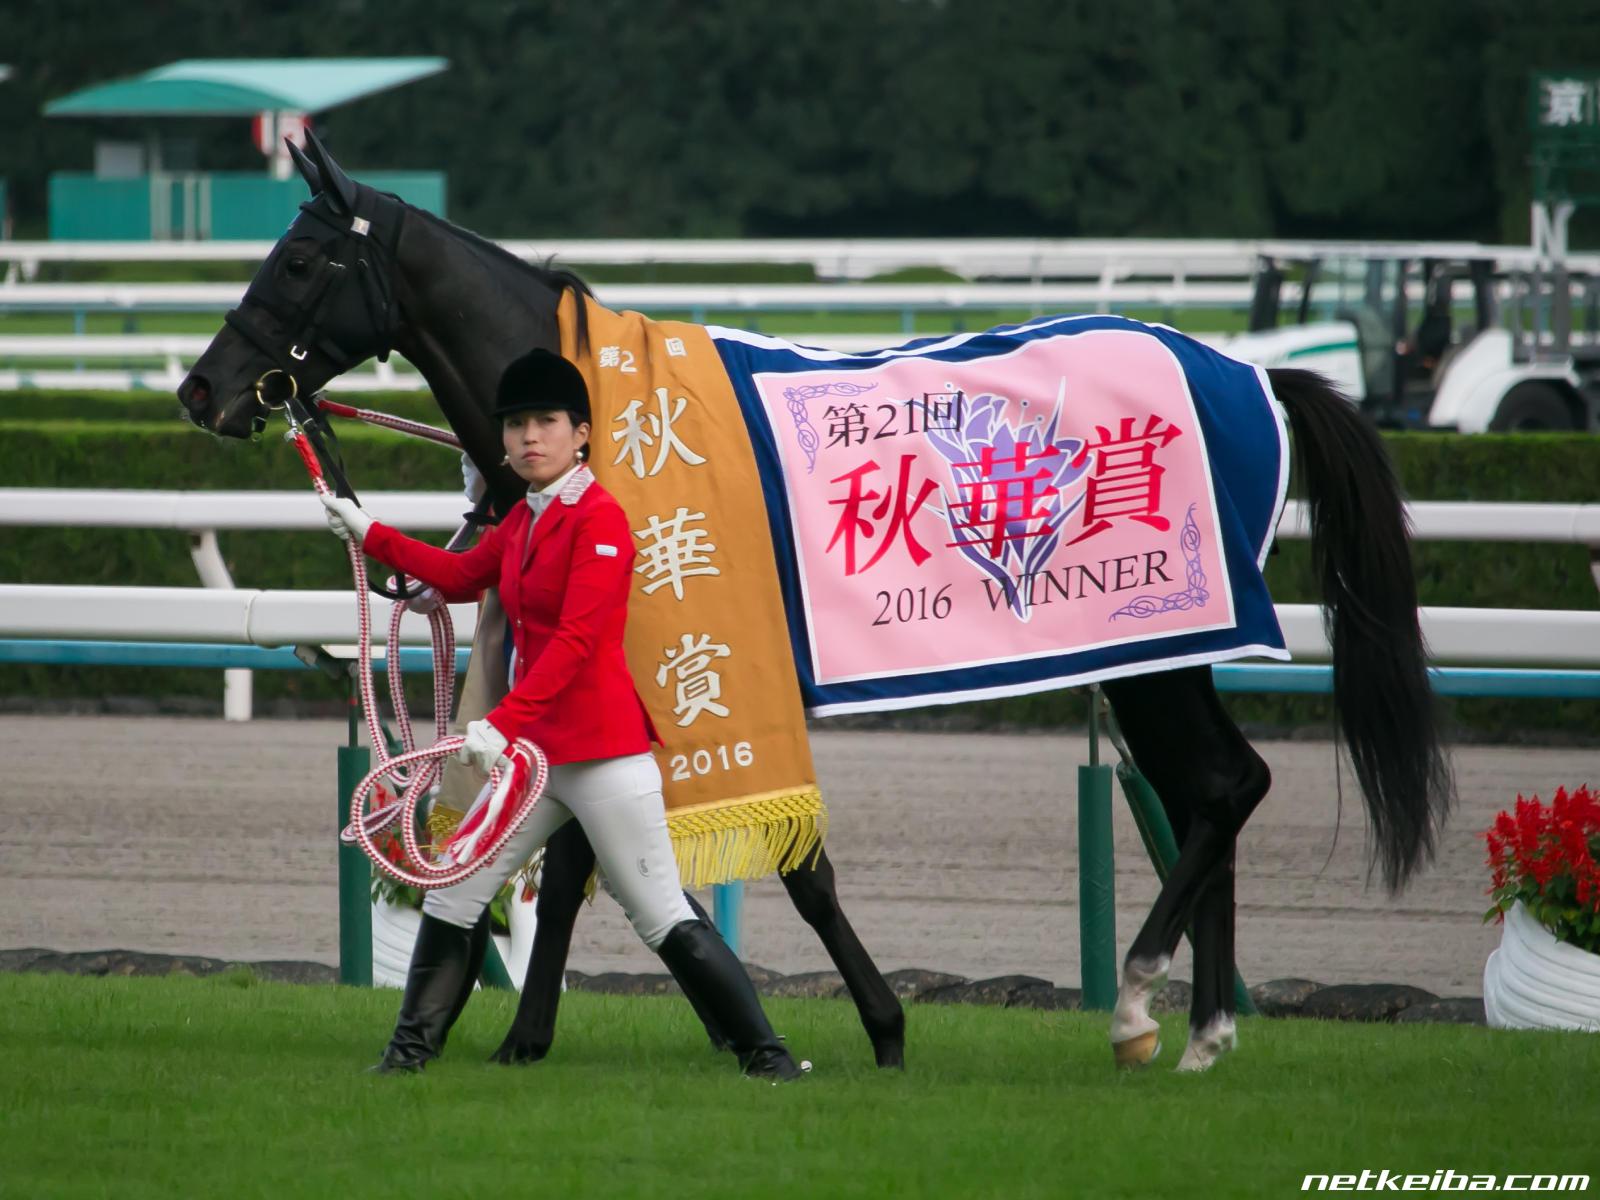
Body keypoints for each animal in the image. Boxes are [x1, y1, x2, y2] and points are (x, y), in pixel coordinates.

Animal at [175, 133, 1452, 1081]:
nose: (201, 388)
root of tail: (1250, 371)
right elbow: (585, 850)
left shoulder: (704, 667)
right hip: (1155, 655)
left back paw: (1141, 1001)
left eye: (299, 262)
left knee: (1226, 786)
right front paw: (531, 1035)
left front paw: (876, 1024)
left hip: (1153, 650)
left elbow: (772, 867)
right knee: (1210, 791)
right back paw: (1201, 1031)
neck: (604, 427)